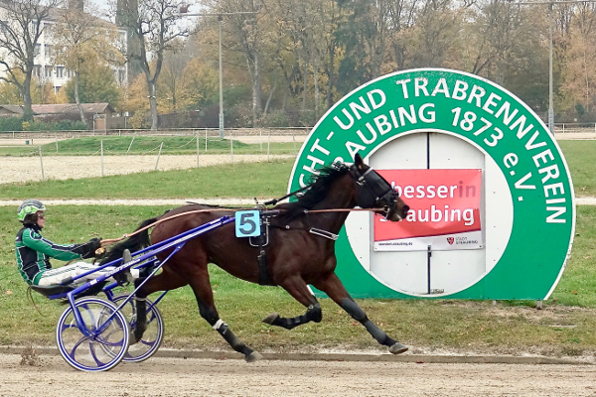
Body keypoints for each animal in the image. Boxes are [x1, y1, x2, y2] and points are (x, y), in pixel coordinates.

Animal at [102, 153, 410, 360]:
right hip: (193, 268)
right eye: (376, 181)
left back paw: (138, 329)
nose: (404, 208)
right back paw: (245, 348)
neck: (305, 226)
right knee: (207, 310)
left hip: (177, 272)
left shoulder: (323, 275)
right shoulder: (287, 277)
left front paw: (391, 341)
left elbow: (355, 309)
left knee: (143, 287)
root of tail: (164, 217)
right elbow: (315, 310)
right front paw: (276, 319)